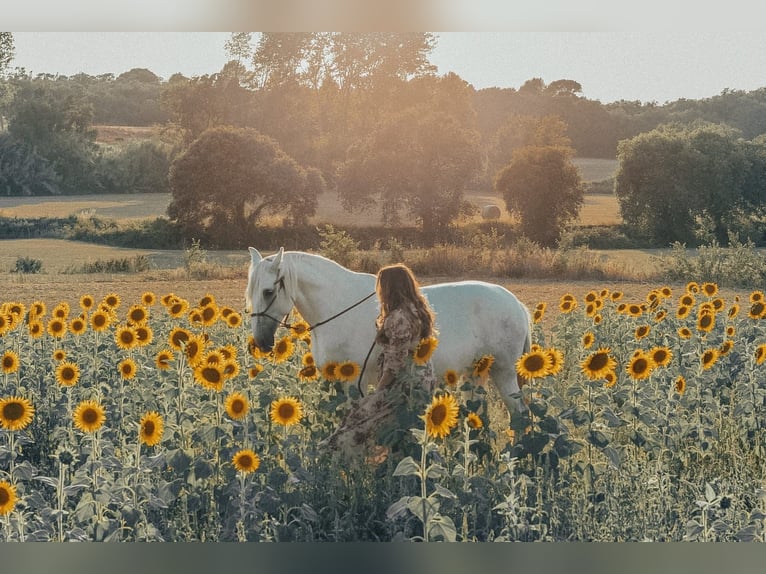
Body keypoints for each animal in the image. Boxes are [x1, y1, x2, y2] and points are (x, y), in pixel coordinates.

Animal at [246, 248, 536, 418]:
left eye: (268, 292)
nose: (260, 343)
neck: (337, 305)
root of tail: (517, 304)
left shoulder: (355, 382)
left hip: (504, 373)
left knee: (519, 414)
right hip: (476, 375)